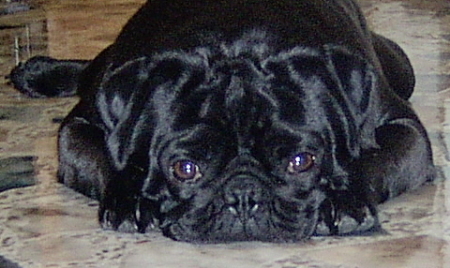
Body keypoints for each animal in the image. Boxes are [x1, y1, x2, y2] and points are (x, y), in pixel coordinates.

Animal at [8, 0, 434, 243]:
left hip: (401, 66)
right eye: (185, 169)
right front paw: (131, 201)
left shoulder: (406, 132)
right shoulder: (80, 128)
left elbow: (368, 161)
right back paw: (38, 72)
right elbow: (110, 164)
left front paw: (344, 201)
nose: (243, 196)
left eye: (301, 162)